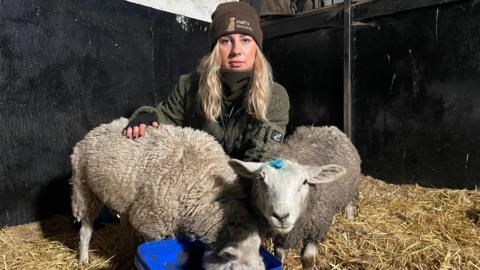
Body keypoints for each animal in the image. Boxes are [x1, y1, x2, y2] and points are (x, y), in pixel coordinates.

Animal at [70, 118, 266, 270]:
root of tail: (94, 131)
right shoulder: (152, 222)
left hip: (124, 196)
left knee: (124, 222)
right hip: (84, 190)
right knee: (85, 229)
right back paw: (83, 258)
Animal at [230, 126, 360, 270]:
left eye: (304, 182)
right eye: (261, 180)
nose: (281, 217)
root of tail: (329, 127)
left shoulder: (316, 229)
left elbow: (308, 258)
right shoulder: (282, 236)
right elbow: (279, 255)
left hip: (351, 187)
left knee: (349, 203)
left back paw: (350, 218)